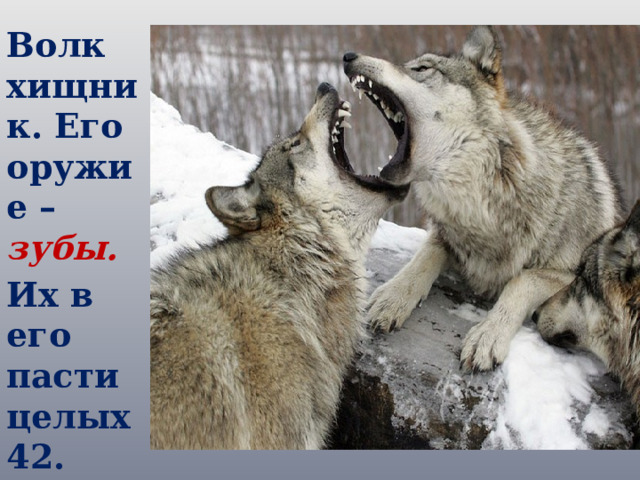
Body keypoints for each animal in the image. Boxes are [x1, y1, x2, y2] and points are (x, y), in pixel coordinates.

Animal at [342, 26, 622, 371]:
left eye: (422, 68)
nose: (348, 56)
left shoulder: (571, 276)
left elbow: (521, 281)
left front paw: (488, 335)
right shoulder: (449, 235)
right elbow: (425, 256)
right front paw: (394, 296)